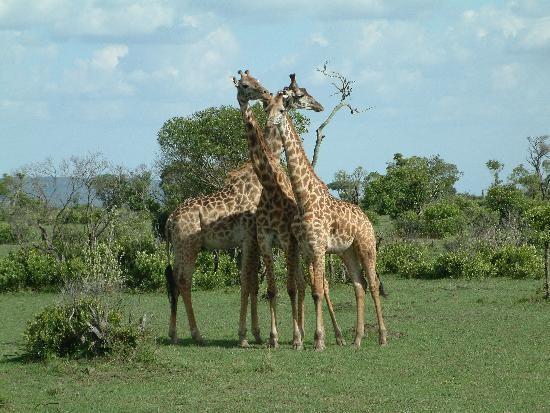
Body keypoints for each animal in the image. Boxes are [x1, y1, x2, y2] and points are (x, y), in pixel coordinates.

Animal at [165, 148, 264, 348]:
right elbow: (246, 282)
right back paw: (197, 336)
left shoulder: (254, 243)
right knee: (184, 281)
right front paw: (243, 337)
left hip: (179, 249)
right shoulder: (248, 239)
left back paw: (174, 335)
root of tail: (170, 220)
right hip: (190, 246)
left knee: (174, 281)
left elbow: (254, 284)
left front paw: (257, 335)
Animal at [233, 70, 344, 348]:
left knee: (320, 285)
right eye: (245, 85)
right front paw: (276, 338)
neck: (269, 187)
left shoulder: (287, 241)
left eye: (300, 93)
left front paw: (298, 337)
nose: (319, 105)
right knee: (304, 284)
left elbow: (294, 288)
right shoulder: (266, 240)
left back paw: (335, 335)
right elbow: (274, 289)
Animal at [266, 77, 388, 348]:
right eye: (267, 107)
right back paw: (357, 339)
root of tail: (367, 219)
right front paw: (305, 340)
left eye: (283, 109)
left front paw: (319, 341)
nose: (319, 106)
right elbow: (310, 288)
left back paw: (383, 337)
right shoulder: (305, 248)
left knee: (374, 284)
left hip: (366, 246)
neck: (304, 199)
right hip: (347, 252)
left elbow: (318, 291)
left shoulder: (319, 247)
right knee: (359, 285)